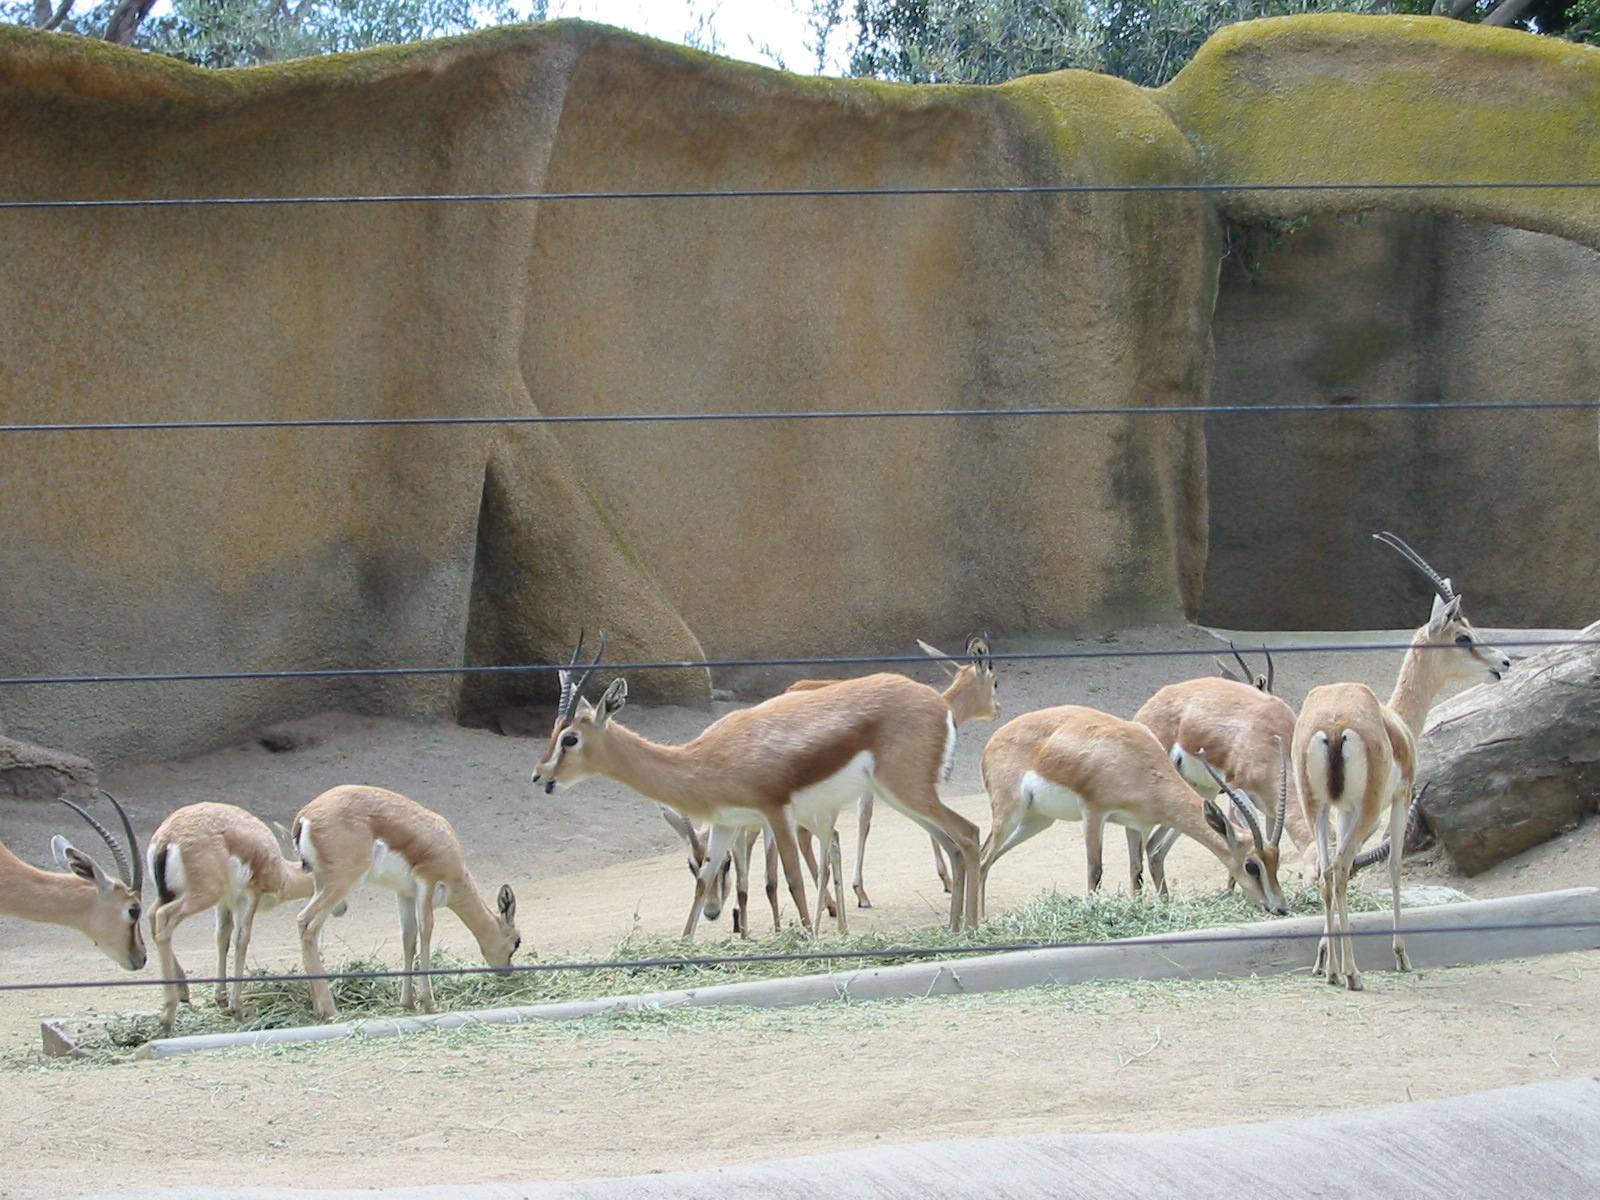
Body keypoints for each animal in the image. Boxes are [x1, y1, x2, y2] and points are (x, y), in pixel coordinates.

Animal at [146, 802, 320, 1028]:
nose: (342, 907)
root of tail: (166, 839)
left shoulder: (224, 903)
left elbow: (222, 938)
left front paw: (221, 998)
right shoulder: (249, 897)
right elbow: (241, 939)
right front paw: (236, 1008)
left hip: (170, 895)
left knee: (151, 915)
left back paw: (182, 991)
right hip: (198, 897)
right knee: (163, 919)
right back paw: (168, 1013)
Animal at [293, 785, 521, 1020]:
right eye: (516, 942)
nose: (509, 971)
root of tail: (305, 817)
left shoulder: (405, 894)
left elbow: (408, 938)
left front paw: (408, 1002)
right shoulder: (427, 881)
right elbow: (426, 931)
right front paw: (429, 1003)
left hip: (320, 883)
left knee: (305, 927)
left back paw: (317, 1006)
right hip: (341, 882)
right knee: (307, 923)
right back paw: (329, 1009)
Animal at [530, 633, 985, 936]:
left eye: (571, 738)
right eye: (552, 730)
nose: (540, 776)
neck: (705, 759)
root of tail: (939, 704)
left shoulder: (774, 813)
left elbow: (791, 877)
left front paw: (807, 938)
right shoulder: (726, 825)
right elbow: (702, 885)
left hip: (908, 792)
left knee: (969, 832)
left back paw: (974, 926)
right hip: (902, 798)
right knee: (952, 845)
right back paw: (954, 927)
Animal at [979, 705, 1290, 918]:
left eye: (1276, 861)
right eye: (1252, 865)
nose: (1281, 908)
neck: (1137, 764)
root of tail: (993, 740)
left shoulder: (1135, 825)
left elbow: (1136, 871)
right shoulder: (1094, 813)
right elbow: (1095, 870)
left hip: (1036, 821)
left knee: (988, 858)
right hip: (1009, 813)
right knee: (983, 858)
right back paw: (976, 924)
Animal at [1295, 532, 1510, 991]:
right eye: (1463, 636)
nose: (1503, 662)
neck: (1395, 718)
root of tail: (1334, 724)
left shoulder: (1342, 809)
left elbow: (1327, 872)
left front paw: (1323, 961)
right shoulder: (1401, 796)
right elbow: (1395, 866)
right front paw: (1401, 956)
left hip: (1315, 807)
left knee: (1326, 870)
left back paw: (1337, 971)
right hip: (1369, 809)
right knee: (1341, 867)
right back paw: (1354, 973)